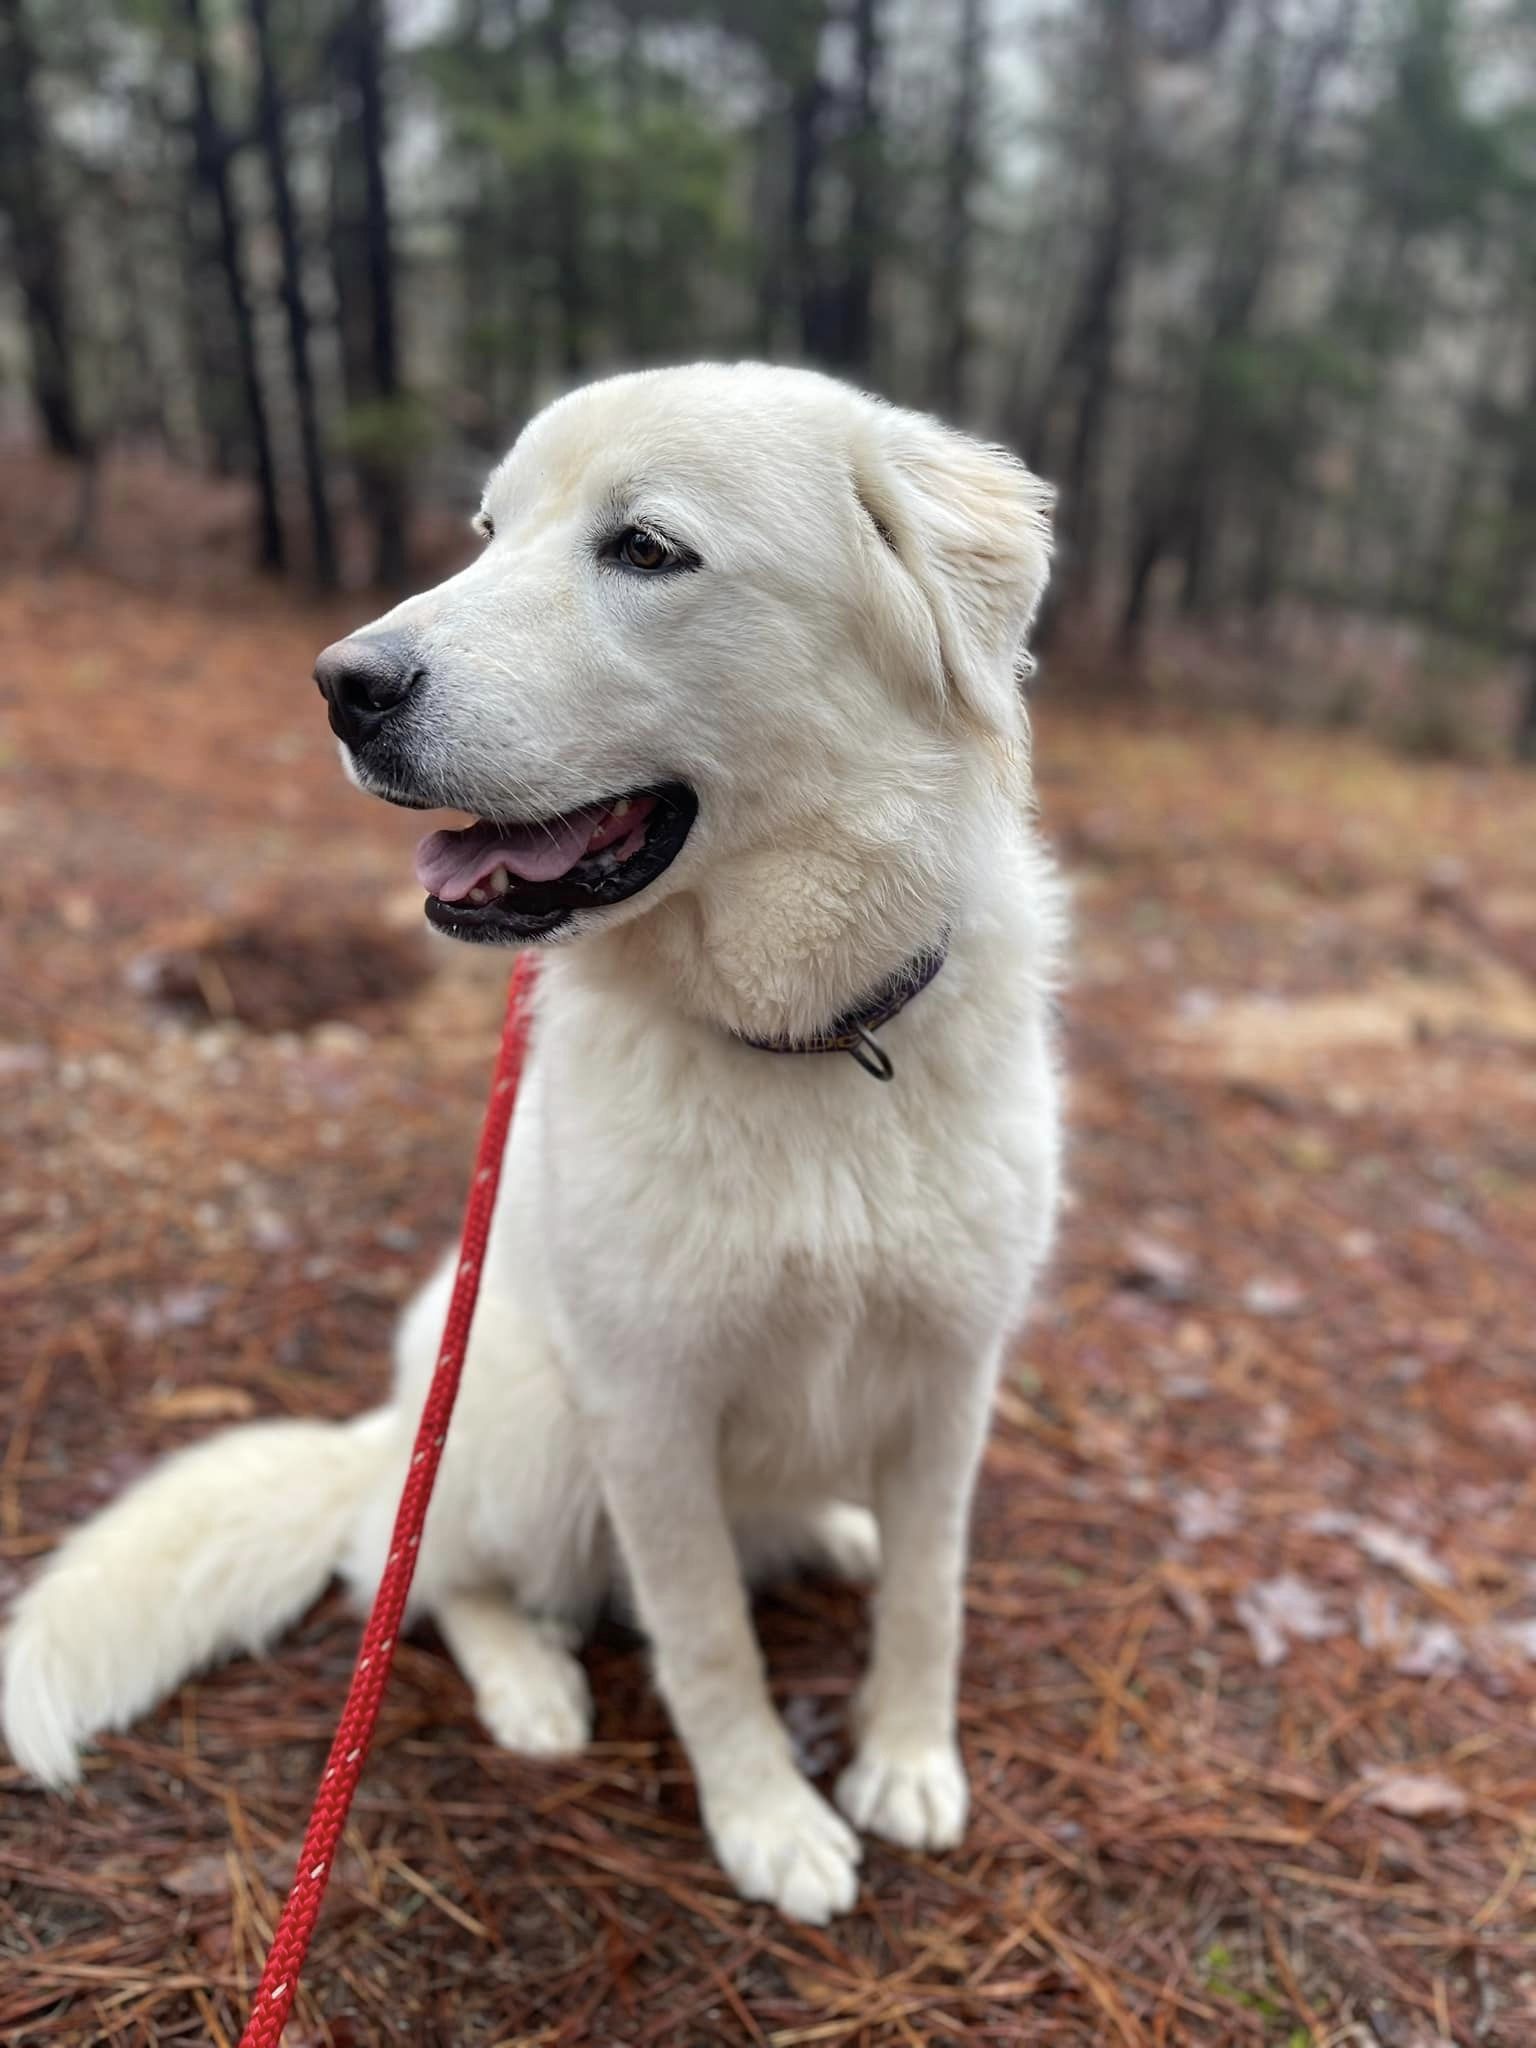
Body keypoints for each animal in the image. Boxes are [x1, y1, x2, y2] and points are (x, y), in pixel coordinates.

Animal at [3, 364, 1056, 1916]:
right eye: (490, 534)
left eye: (647, 549)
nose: (343, 684)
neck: (800, 1046)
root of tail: (382, 1436)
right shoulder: (648, 1410)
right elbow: (706, 1637)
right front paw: (769, 1820)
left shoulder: (949, 1376)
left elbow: (931, 1593)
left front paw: (909, 1761)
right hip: (527, 1432)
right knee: (422, 1581)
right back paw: (531, 1688)